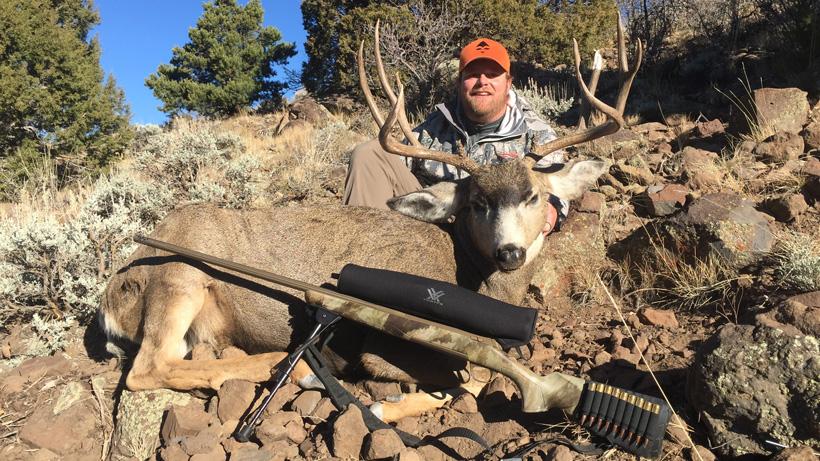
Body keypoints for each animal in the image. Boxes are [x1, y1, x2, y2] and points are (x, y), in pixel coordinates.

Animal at [98, 17, 642, 424]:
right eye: (476, 204)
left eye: (534, 196)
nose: (510, 252)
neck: (472, 278)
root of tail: (110, 297)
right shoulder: (385, 350)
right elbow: (471, 382)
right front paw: (386, 405)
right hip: (178, 277)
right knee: (147, 367)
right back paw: (285, 365)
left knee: (194, 357)